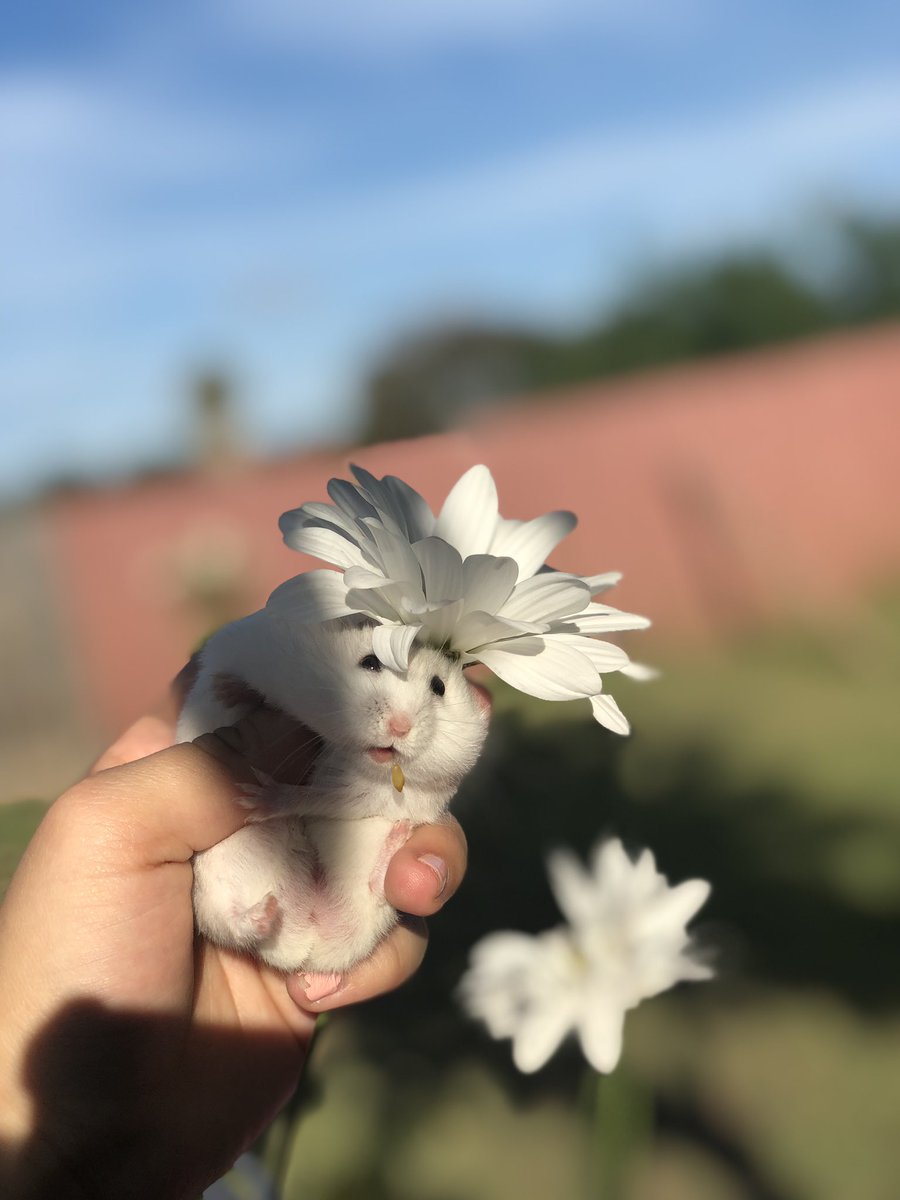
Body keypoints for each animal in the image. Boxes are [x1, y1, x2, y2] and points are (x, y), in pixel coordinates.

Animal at [176, 611, 490, 986]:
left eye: (439, 687)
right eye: (370, 662)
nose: (400, 727)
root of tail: (307, 948)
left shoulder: (378, 797)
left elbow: (317, 797)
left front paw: (258, 800)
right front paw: (232, 692)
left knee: (376, 889)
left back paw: (395, 837)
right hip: (210, 896)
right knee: (233, 925)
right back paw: (266, 912)